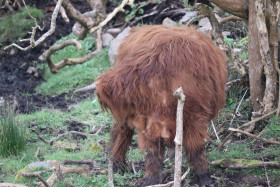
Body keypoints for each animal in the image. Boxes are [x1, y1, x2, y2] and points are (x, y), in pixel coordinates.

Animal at [80, 25, 226, 186]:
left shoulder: (195, 117)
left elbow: (195, 147)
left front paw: (204, 176)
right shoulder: (148, 124)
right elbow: (152, 153)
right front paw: (150, 179)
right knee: (121, 132)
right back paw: (117, 164)